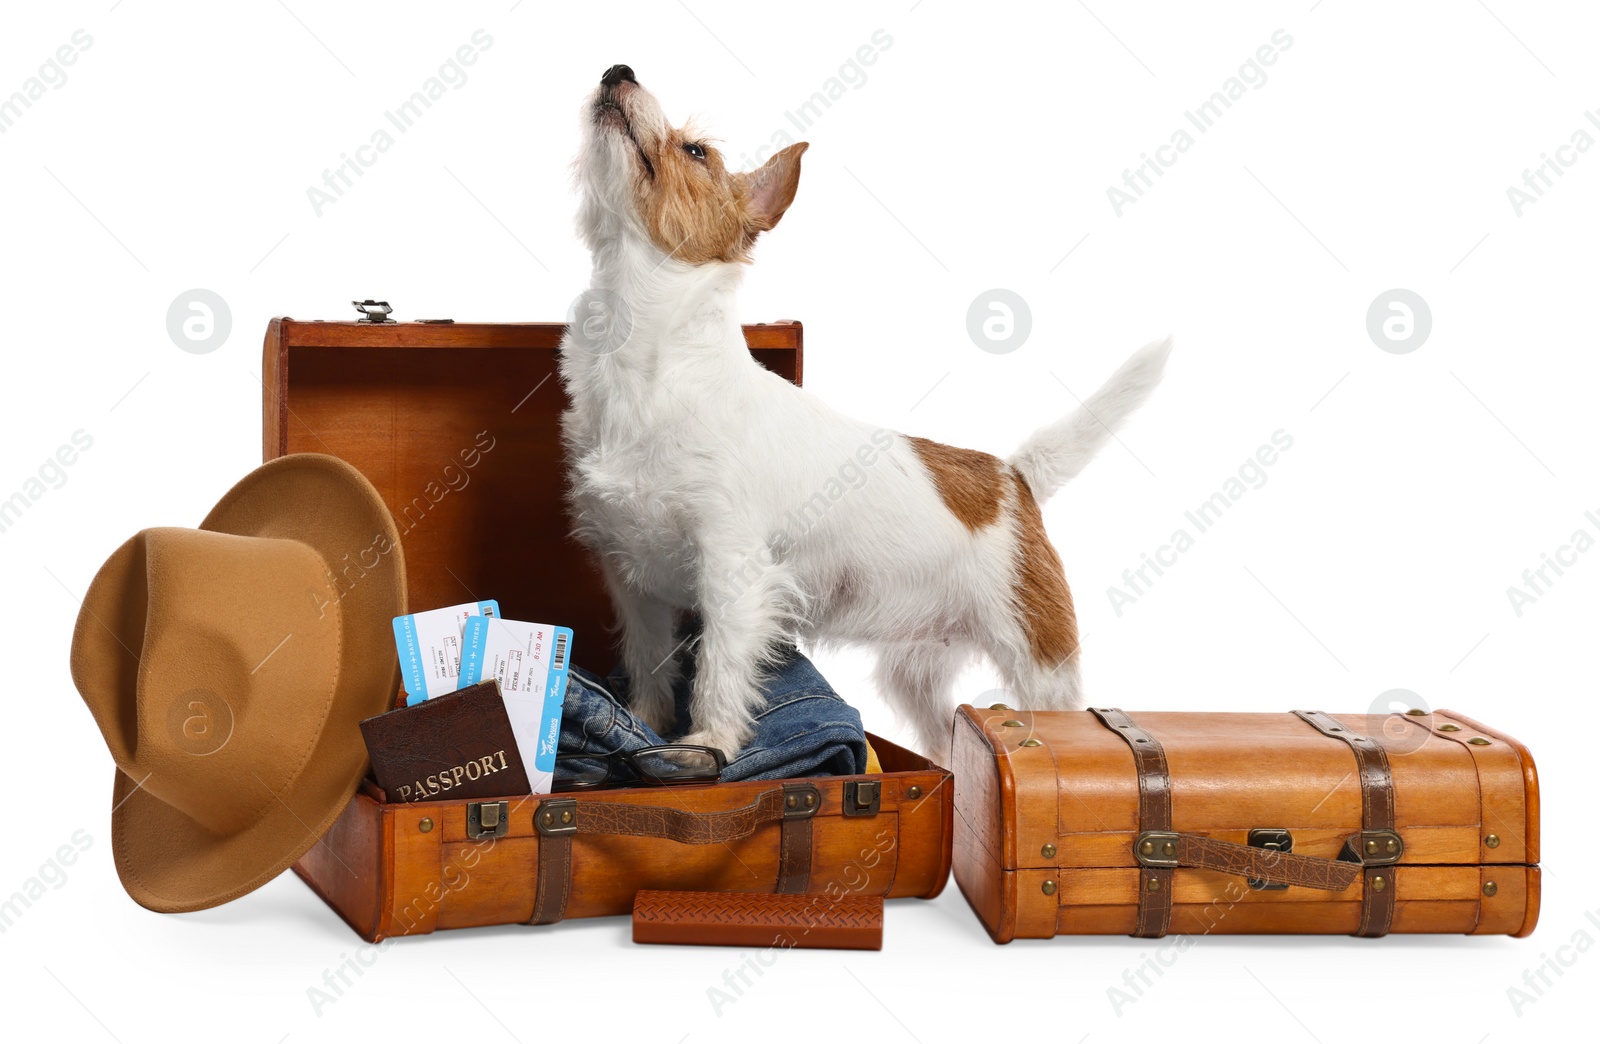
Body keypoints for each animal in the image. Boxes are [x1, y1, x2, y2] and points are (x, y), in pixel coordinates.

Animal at [556, 65, 1171, 762]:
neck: (649, 360)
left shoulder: (733, 574)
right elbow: (649, 659)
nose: (619, 71)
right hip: (918, 672)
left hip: (1037, 654)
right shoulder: (635, 584)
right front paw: (643, 724)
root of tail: (1011, 476)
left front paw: (709, 741)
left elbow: (718, 667)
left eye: (695, 151)